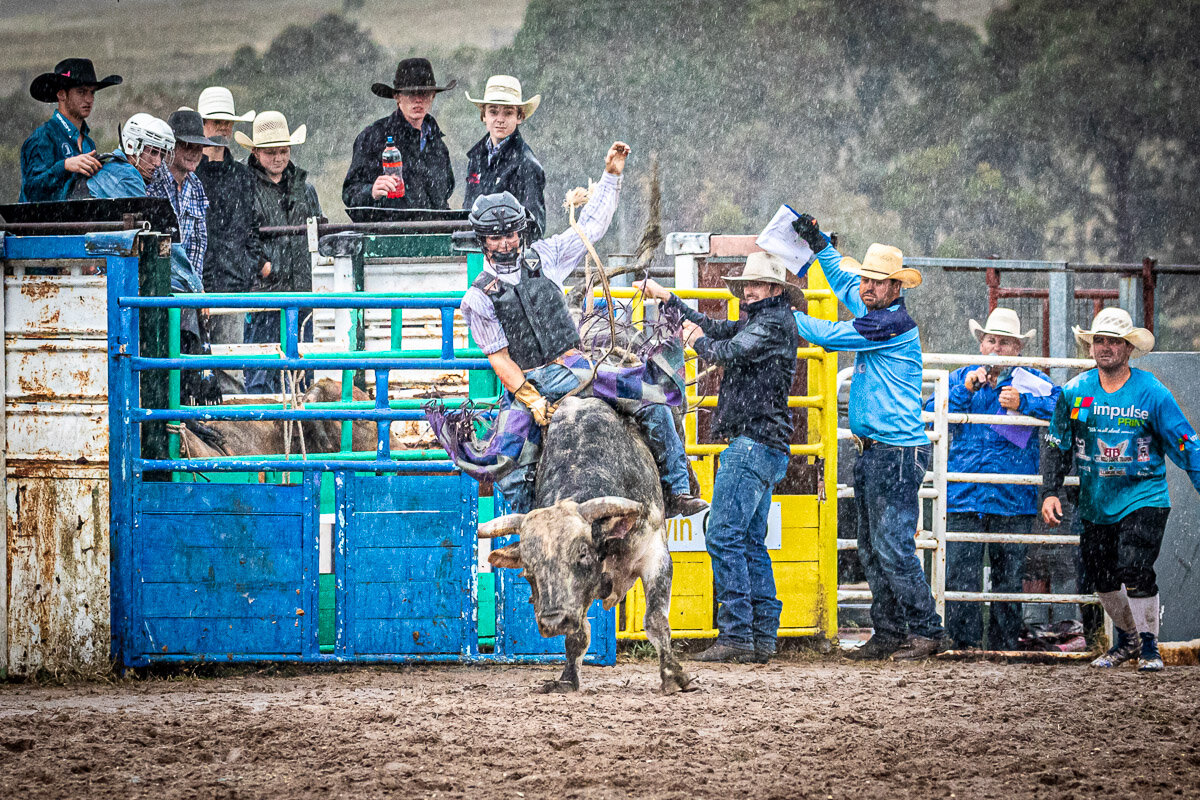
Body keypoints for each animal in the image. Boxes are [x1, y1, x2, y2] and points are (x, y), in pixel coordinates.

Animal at [472, 398, 691, 695]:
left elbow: (655, 620)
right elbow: (577, 634)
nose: (552, 621)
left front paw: (673, 676)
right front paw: (566, 679)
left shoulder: (655, 554)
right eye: (528, 572)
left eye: (583, 555)